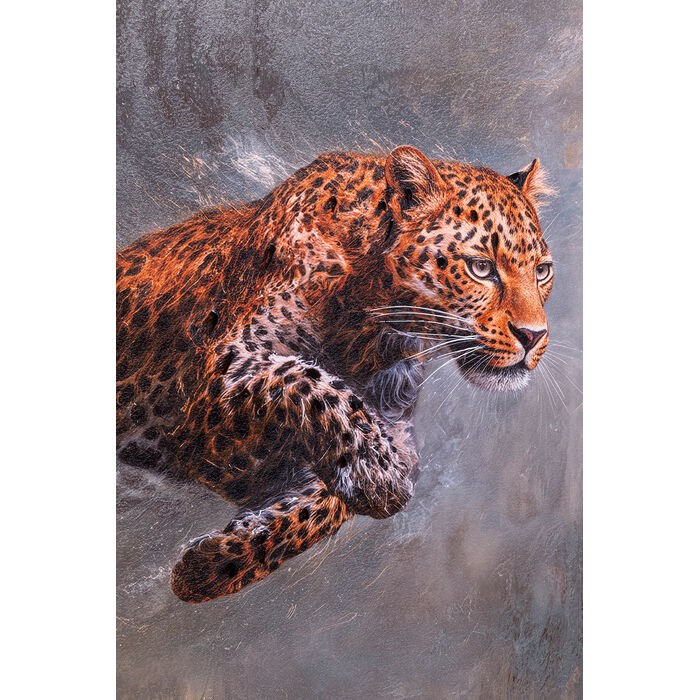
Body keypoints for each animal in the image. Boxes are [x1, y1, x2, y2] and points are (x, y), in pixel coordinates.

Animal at [116, 145, 555, 603]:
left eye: (541, 271)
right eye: (481, 268)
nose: (534, 335)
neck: (370, 333)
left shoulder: (389, 431)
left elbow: (326, 504)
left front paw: (207, 567)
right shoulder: (209, 387)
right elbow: (307, 379)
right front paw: (378, 477)